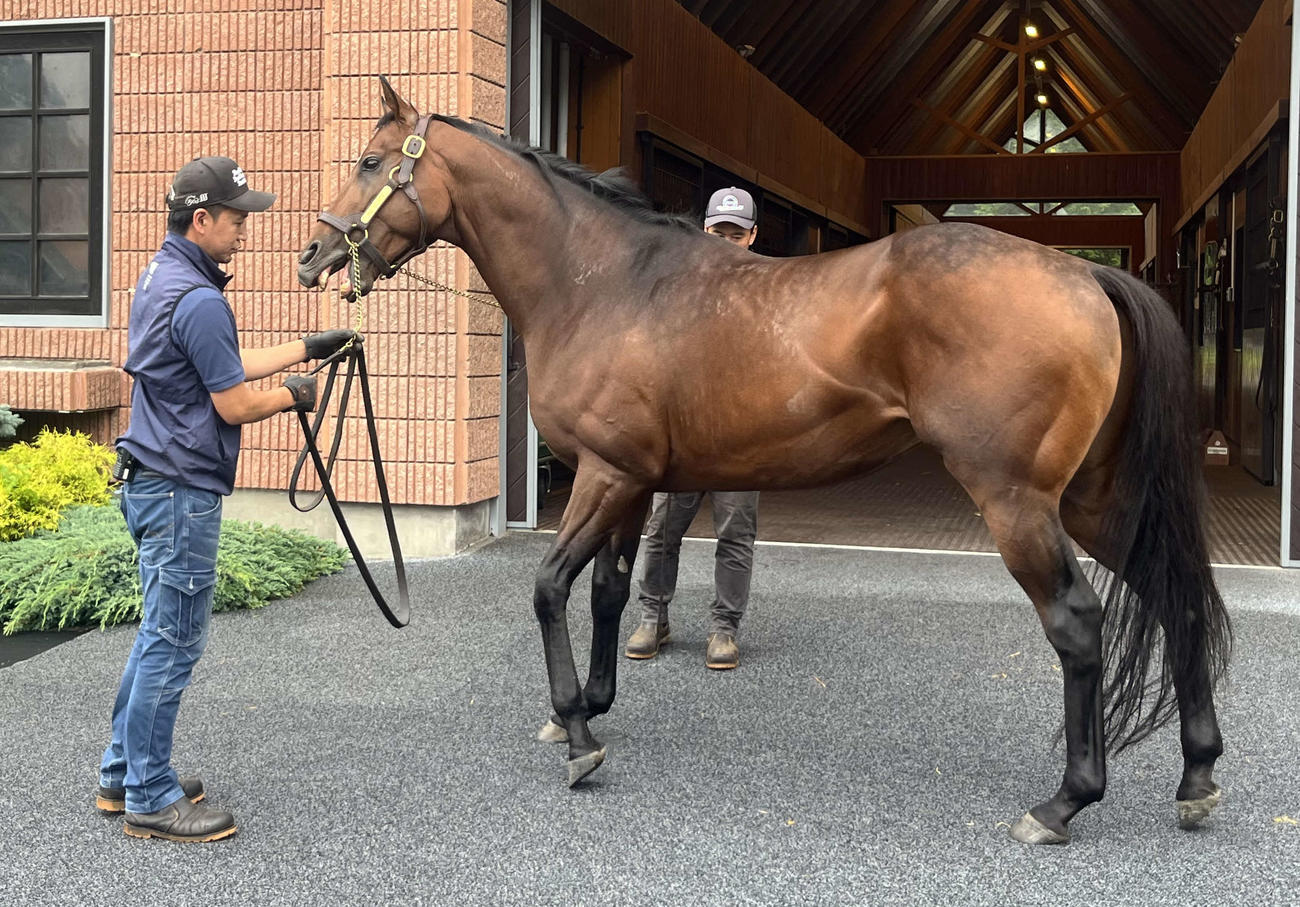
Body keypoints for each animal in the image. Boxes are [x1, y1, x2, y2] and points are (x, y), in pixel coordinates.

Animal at [295, 77, 1231, 845]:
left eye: (371, 160)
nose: (313, 257)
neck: (604, 284)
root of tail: (1083, 275)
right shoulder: (633, 482)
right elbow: (609, 594)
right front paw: (591, 705)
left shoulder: (603, 475)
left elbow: (550, 588)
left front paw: (578, 735)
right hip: (1091, 501)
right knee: (1174, 597)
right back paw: (1197, 775)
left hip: (1018, 504)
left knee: (1077, 622)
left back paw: (1063, 803)